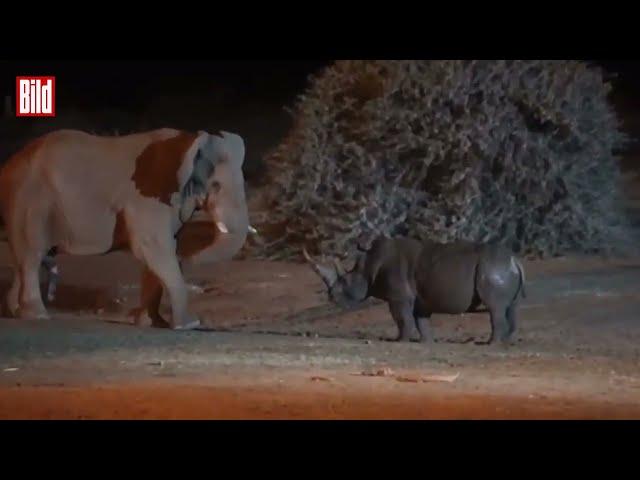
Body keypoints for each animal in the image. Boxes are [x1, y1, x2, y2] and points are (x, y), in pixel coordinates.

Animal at [0, 127, 250, 330]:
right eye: (216, 186)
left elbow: (159, 253)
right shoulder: (151, 195)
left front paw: (153, 324)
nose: (188, 259)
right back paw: (37, 316)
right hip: (29, 199)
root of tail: (10, 162)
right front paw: (188, 325)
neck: (190, 142)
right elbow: (155, 248)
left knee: (26, 259)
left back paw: (16, 312)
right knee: (32, 255)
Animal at [302, 236, 528, 344]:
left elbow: (402, 318)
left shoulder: (398, 296)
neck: (368, 264)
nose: (331, 298)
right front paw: (426, 342)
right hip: (500, 268)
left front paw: (399, 341)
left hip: (492, 269)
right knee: (511, 308)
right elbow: (421, 321)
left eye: (345, 281)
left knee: (495, 308)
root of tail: (515, 260)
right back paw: (506, 342)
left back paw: (490, 344)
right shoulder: (421, 299)